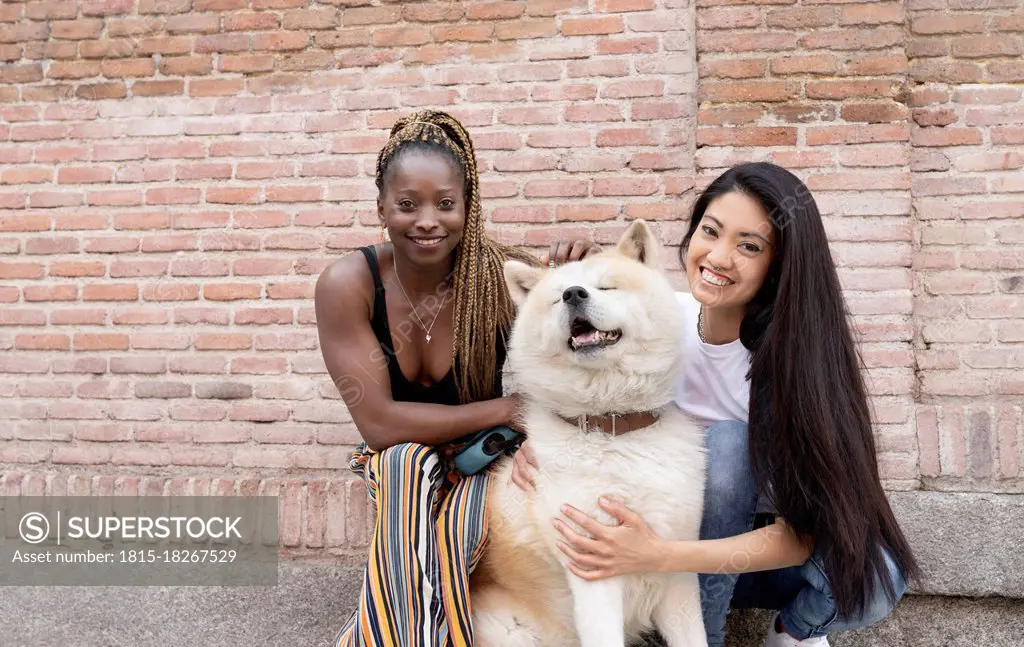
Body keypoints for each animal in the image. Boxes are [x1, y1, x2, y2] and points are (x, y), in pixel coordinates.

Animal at [468, 219, 704, 647]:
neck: (612, 428)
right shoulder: (594, 573)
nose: (573, 294)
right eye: (555, 300)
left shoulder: (678, 567)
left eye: (606, 287)